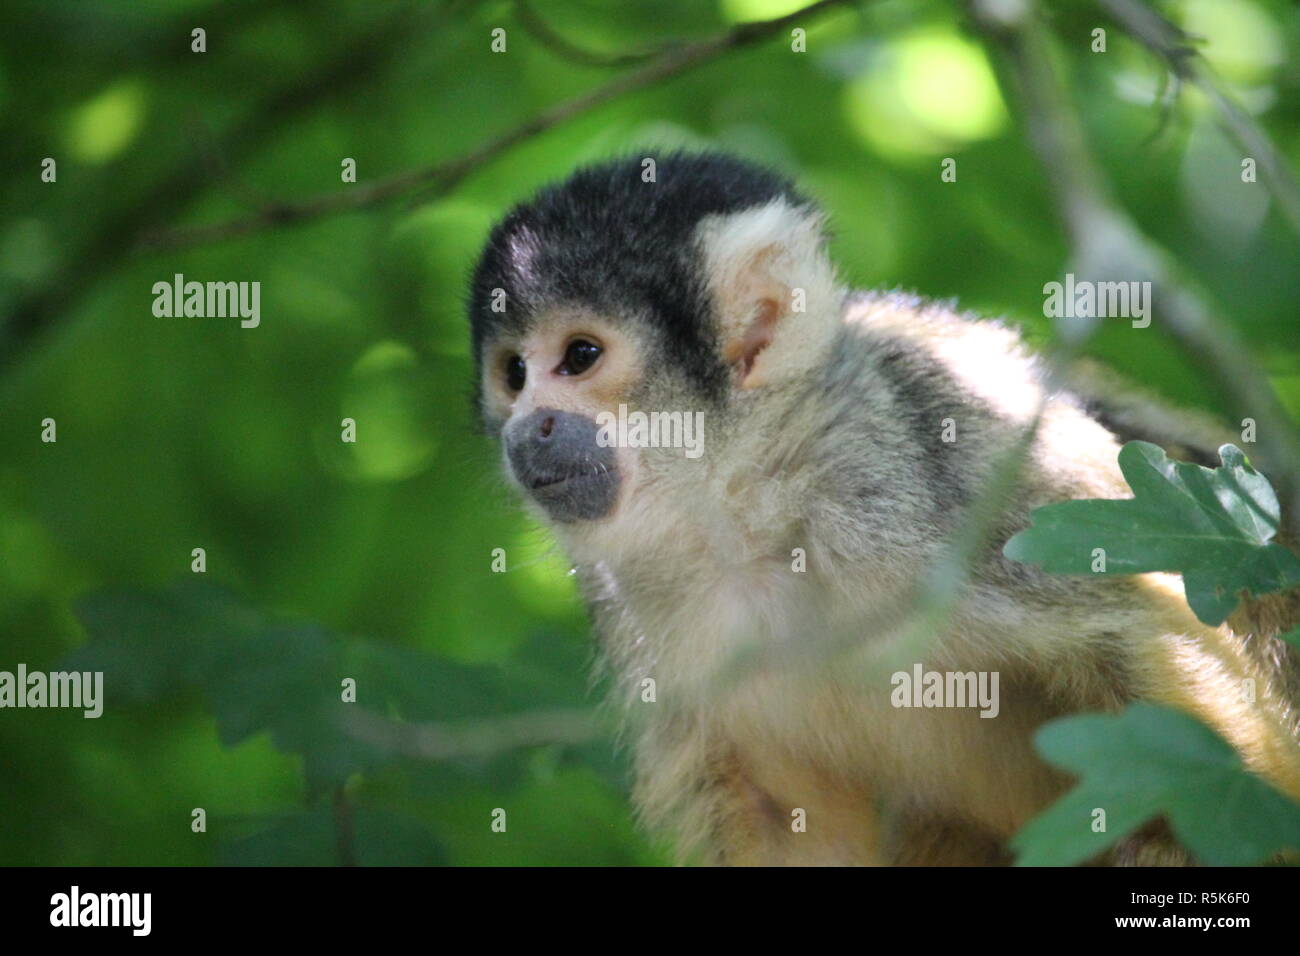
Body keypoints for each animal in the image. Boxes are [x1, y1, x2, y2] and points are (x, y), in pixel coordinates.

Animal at [467, 151, 1300, 868]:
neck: (749, 516)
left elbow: (1139, 636)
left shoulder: (927, 472)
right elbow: (786, 822)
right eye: (514, 374)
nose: (527, 428)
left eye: (580, 356)